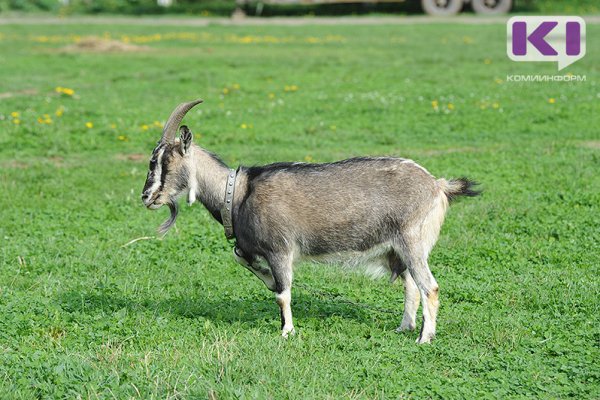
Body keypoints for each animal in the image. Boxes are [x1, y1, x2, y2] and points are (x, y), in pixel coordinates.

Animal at [139, 98, 478, 342]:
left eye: (164, 161)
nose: (146, 196)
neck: (237, 193)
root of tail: (437, 185)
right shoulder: (251, 248)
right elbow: (246, 262)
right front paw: (266, 279)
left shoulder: (279, 249)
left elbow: (283, 293)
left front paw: (287, 331)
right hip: (396, 249)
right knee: (411, 286)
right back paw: (404, 327)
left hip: (412, 241)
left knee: (429, 287)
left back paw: (424, 338)